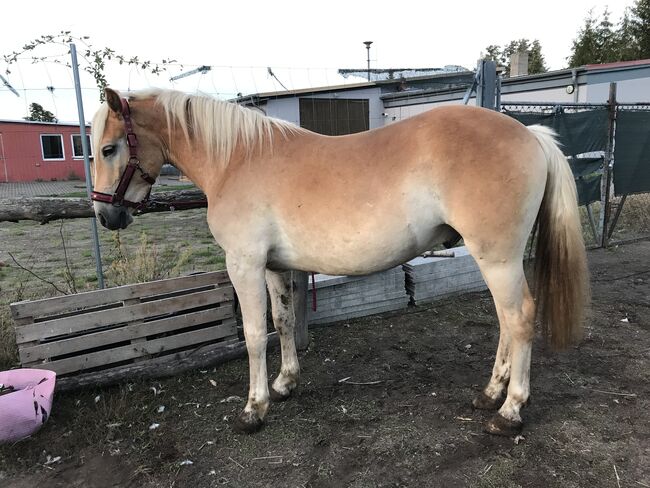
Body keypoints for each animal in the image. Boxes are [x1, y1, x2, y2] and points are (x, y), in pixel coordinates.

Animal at [91, 87, 588, 434]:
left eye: (109, 148)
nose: (105, 215)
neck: (236, 160)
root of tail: (530, 134)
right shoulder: (274, 268)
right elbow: (283, 322)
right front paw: (285, 384)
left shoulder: (244, 264)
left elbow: (253, 336)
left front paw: (254, 409)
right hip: (496, 259)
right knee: (505, 320)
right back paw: (490, 393)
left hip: (498, 258)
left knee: (519, 318)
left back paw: (510, 410)